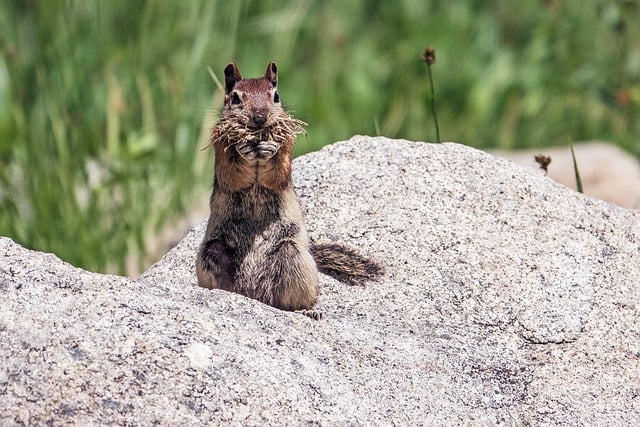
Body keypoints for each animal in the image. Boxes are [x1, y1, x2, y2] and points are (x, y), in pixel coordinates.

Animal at [195, 61, 382, 320]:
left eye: (276, 96)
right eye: (235, 98)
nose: (259, 117)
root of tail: (254, 294)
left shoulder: (287, 148)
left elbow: (277, 172)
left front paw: (269, 148)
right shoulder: (220, 147)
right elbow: (233, 173)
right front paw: (244, 148)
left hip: (292, 254)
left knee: (292, 300)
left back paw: (308, 311)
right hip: (211, 252)